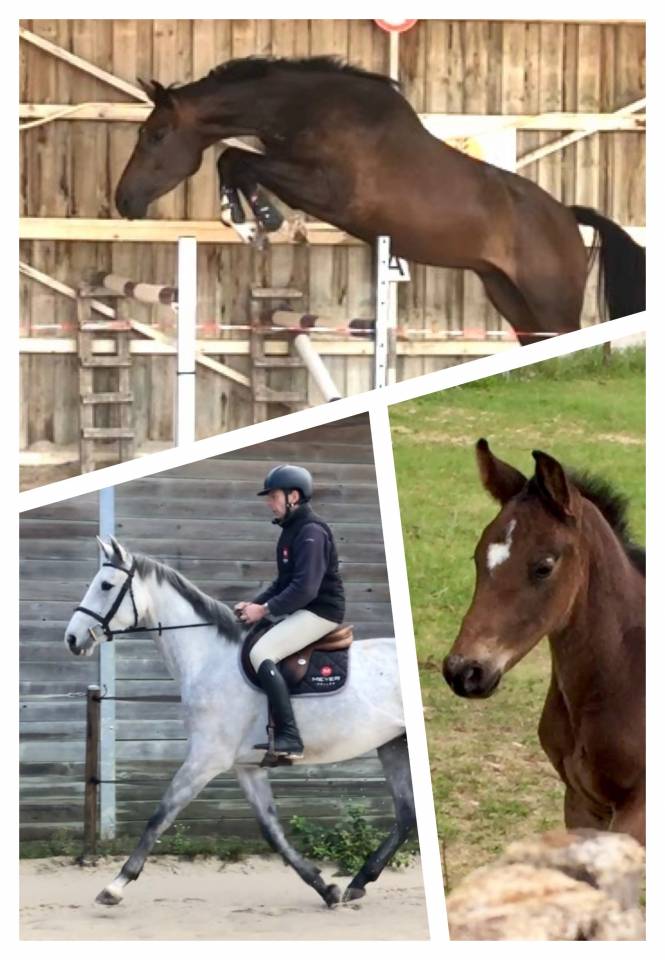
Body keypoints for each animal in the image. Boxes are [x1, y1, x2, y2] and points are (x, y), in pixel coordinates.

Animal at [64, 536, 415, 907]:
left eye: (105, 585)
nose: (71, 638)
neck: (210, 659)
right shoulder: (247, 767)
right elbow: (272, 830)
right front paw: (324, 887)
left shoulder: (206, 758)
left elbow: (161, 815)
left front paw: (116, 885)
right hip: (393, 744)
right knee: (407, 812)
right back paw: (357, 883)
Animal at [114, 56, 645, 345]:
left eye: (156, 135)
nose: (124, 201)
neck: (309, 110)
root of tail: (567, 217)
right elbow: (234, 161)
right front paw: (251, 221)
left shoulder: (328, 192)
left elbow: (235, 159)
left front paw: (258, 220)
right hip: (510, 298)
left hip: (552, 304)